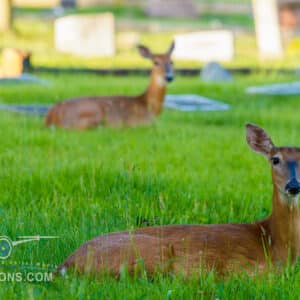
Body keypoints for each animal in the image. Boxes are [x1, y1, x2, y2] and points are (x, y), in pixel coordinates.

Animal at [45, 42, 176, 130]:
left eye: (172, 62)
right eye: (155, 62)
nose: (169, 77)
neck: (148, 105)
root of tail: (50, 117)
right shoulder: (142, 123)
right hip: (92, 114)